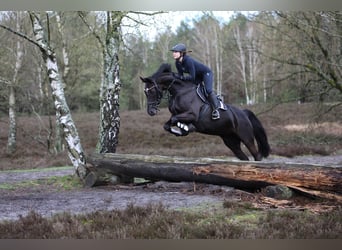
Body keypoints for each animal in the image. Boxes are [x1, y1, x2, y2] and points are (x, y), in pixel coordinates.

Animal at [140, 63, 272, 161]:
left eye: (151, 91)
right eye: (145, 92)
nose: (151, 111)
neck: (180, 91)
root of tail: (244, 113)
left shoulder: (192, 115)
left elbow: (175, 120)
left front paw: (186, 128)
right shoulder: (176, 114)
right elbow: (168, 124)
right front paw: (182, 129)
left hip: (246, 137)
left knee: (256, 155)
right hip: (231, 141)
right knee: (244, 157)